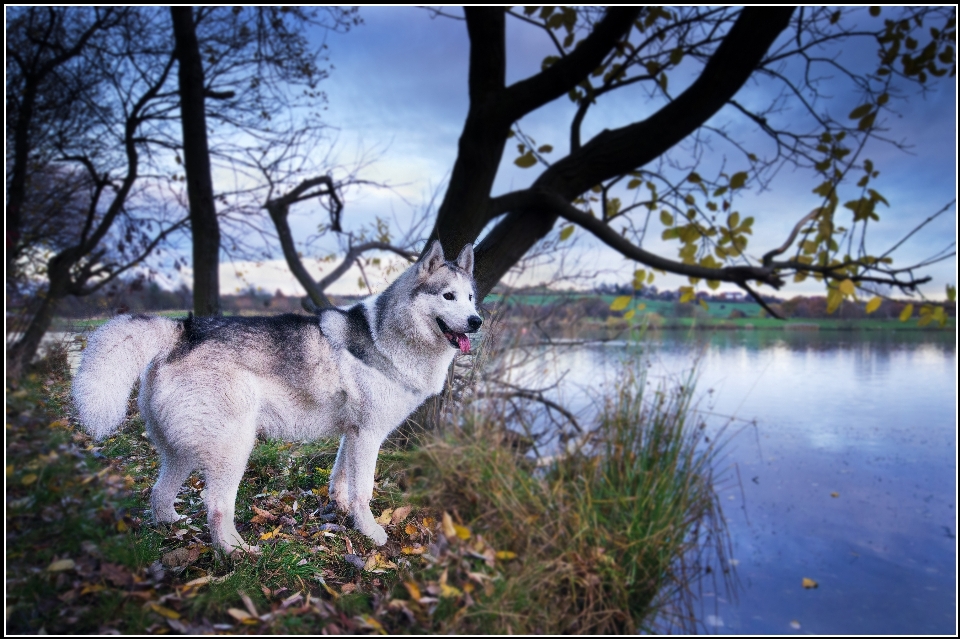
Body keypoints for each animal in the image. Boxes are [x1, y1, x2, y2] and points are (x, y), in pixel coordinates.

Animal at [72, 241, 484, 556]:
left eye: (470, 298)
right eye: (448, 296)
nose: (477, 321)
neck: (389, 335)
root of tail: (183, 329)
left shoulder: (351, 434)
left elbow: (341, 479)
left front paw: (340, 508)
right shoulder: (368, 435)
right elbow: (364, 490)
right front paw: (370, 532)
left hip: (183, 452)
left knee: (159, 494)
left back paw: (172, 525)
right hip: (234, 448)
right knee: (216, 506)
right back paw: (236, 551)